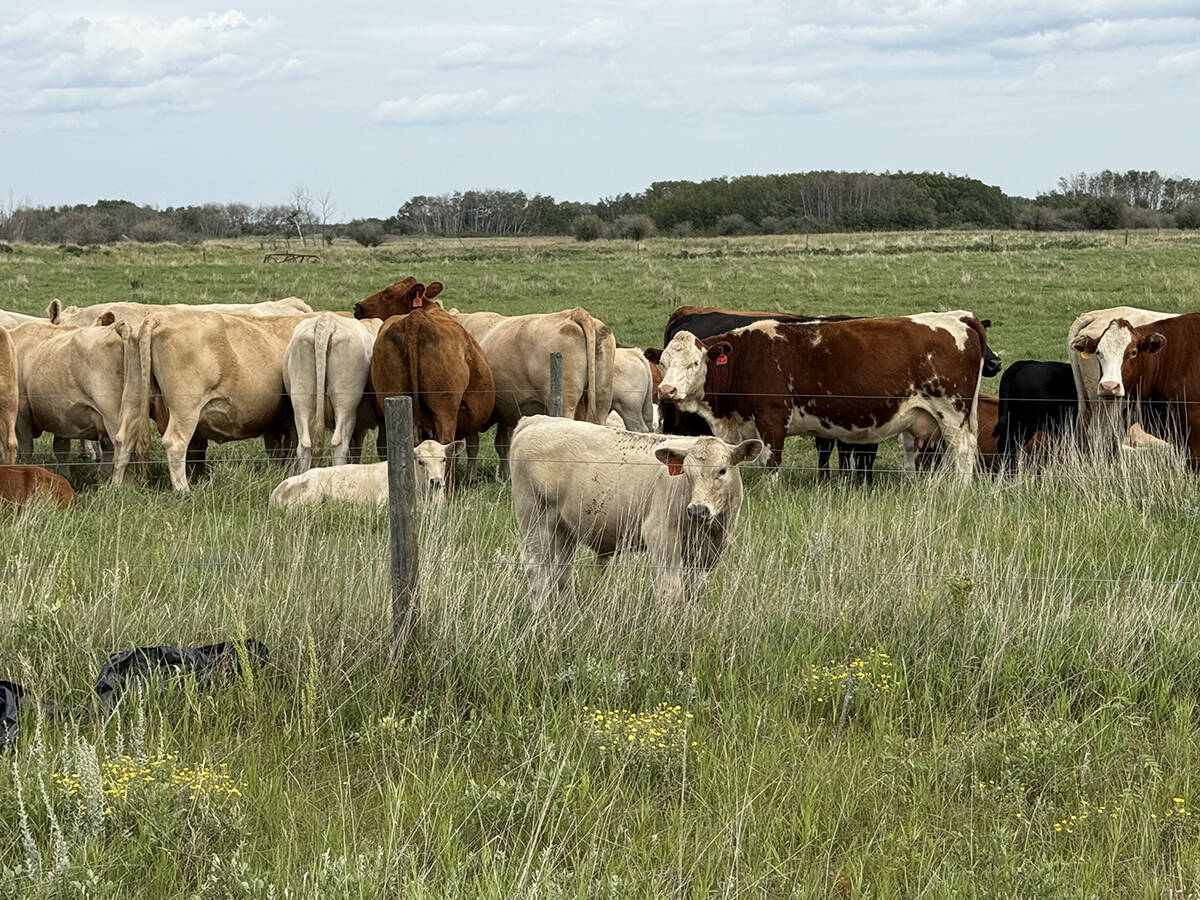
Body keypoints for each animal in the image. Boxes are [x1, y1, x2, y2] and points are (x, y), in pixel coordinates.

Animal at [8, 321, 138, 479]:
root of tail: (116, 327)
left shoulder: (22, 415)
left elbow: (26, 450)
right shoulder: (60, 417)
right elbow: (61, 449)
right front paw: (65, 477)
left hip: (111, 414)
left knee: (122, 444)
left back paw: (119, 483)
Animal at [120, 311, 313, 491]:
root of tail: (158, 317)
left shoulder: (274, 422)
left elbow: (278, 451)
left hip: (133, 393)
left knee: (124, 437)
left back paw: (117, 485)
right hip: (185, 407)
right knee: (175, 443)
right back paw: (184, 491)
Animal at [509, 416, 763, 606]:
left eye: (722, 470)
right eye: (687, 473)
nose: (698, 510)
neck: (712, 529)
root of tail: (538, 420)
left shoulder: (704, 553)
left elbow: (695, 592)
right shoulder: (661, 537)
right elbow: (669, 589)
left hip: (564, 529)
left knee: (561, 572)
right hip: (535, 519)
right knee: (536, 569)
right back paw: (541, 618)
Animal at [654, 307, 1001, 481]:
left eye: (695, 363)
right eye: (664, 362)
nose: (666, 389)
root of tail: (958, 317)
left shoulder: (771, 418)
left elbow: (771, 462)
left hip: (952, 412)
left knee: (963, 451)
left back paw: (957, 490)